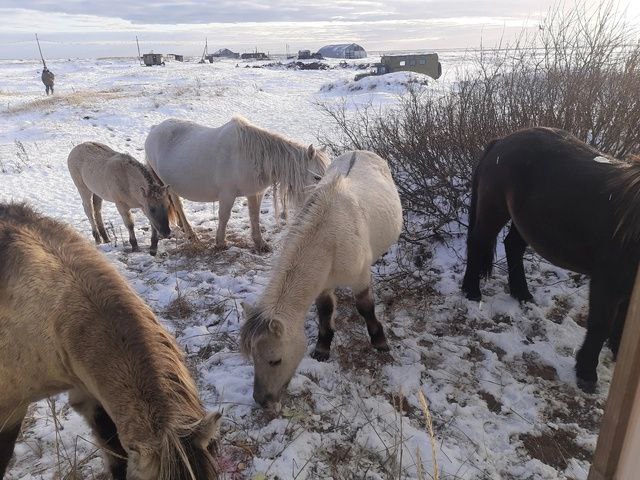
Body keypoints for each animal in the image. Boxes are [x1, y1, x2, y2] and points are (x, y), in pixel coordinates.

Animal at [143, 116, 328, 251]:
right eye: (316, 177)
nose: (324, 202)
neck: (249, 156)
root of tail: (154, 129)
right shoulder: (227, 194)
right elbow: (224, 217)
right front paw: (220, 242)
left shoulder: (255, 193)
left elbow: (254, 216)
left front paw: (260, 243)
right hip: (169, 186)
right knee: (178, 205)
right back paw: (191, 234)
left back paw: (183, 228)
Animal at [240, 151, 400, 412]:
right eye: (252, 358)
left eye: (275, 360)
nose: (262, 401)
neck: (330, 239)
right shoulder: (323, 285)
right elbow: (325, 311)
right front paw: (323, 348)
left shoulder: (360, 279)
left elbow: (365, 308)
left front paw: (380, 342)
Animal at [462, 127, 636, 394]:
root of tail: (502, 141)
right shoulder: (607, 280)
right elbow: (600, 324)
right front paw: (586, 373)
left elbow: (624, 324)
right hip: (494, 209)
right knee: (478, 241)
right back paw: (472, 290)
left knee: (512, 247)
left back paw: (522, 293)